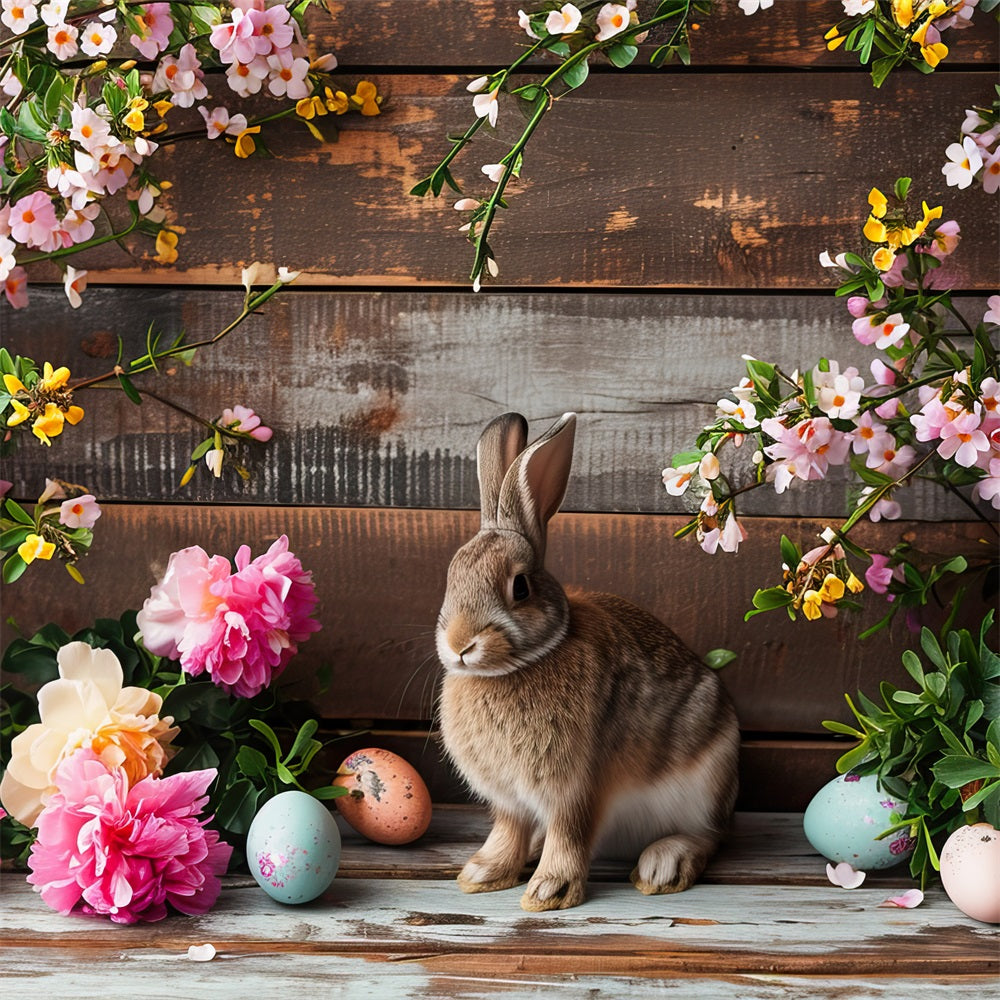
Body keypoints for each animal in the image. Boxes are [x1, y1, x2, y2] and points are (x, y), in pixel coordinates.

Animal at [438, 410, 744, 912]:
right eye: (451, 578)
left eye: (519, 587)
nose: (460, 644)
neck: (520, 665)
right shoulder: (510, 801)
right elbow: (508, 831)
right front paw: (483, 873)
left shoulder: (578, 788)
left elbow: (570, 833)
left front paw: (549, 890)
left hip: (708, 781)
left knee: (711, 836)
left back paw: (664, 864)